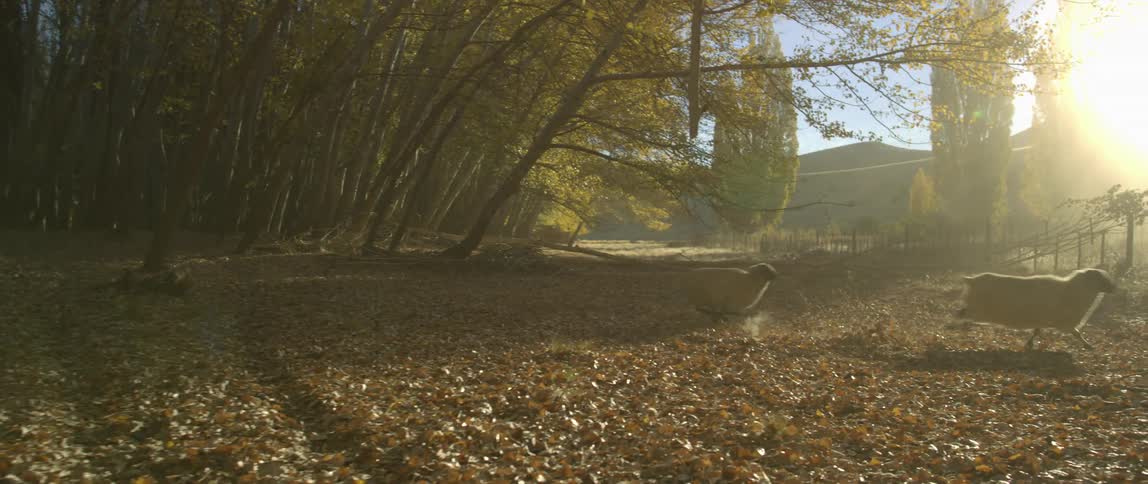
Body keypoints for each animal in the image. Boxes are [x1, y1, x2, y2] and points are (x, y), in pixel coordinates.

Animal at [955, 268, 1117, 350]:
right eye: (1099, 278)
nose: (1114, 288)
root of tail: (972, 280)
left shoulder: (1043, 319)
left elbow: (1037, 331)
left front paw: (1029, 344)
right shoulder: (1064, 322)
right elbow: (1076, 333)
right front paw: (1088, 345)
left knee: (962, 313)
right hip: (977, 308)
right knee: (960, 313)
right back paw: (957, 323)